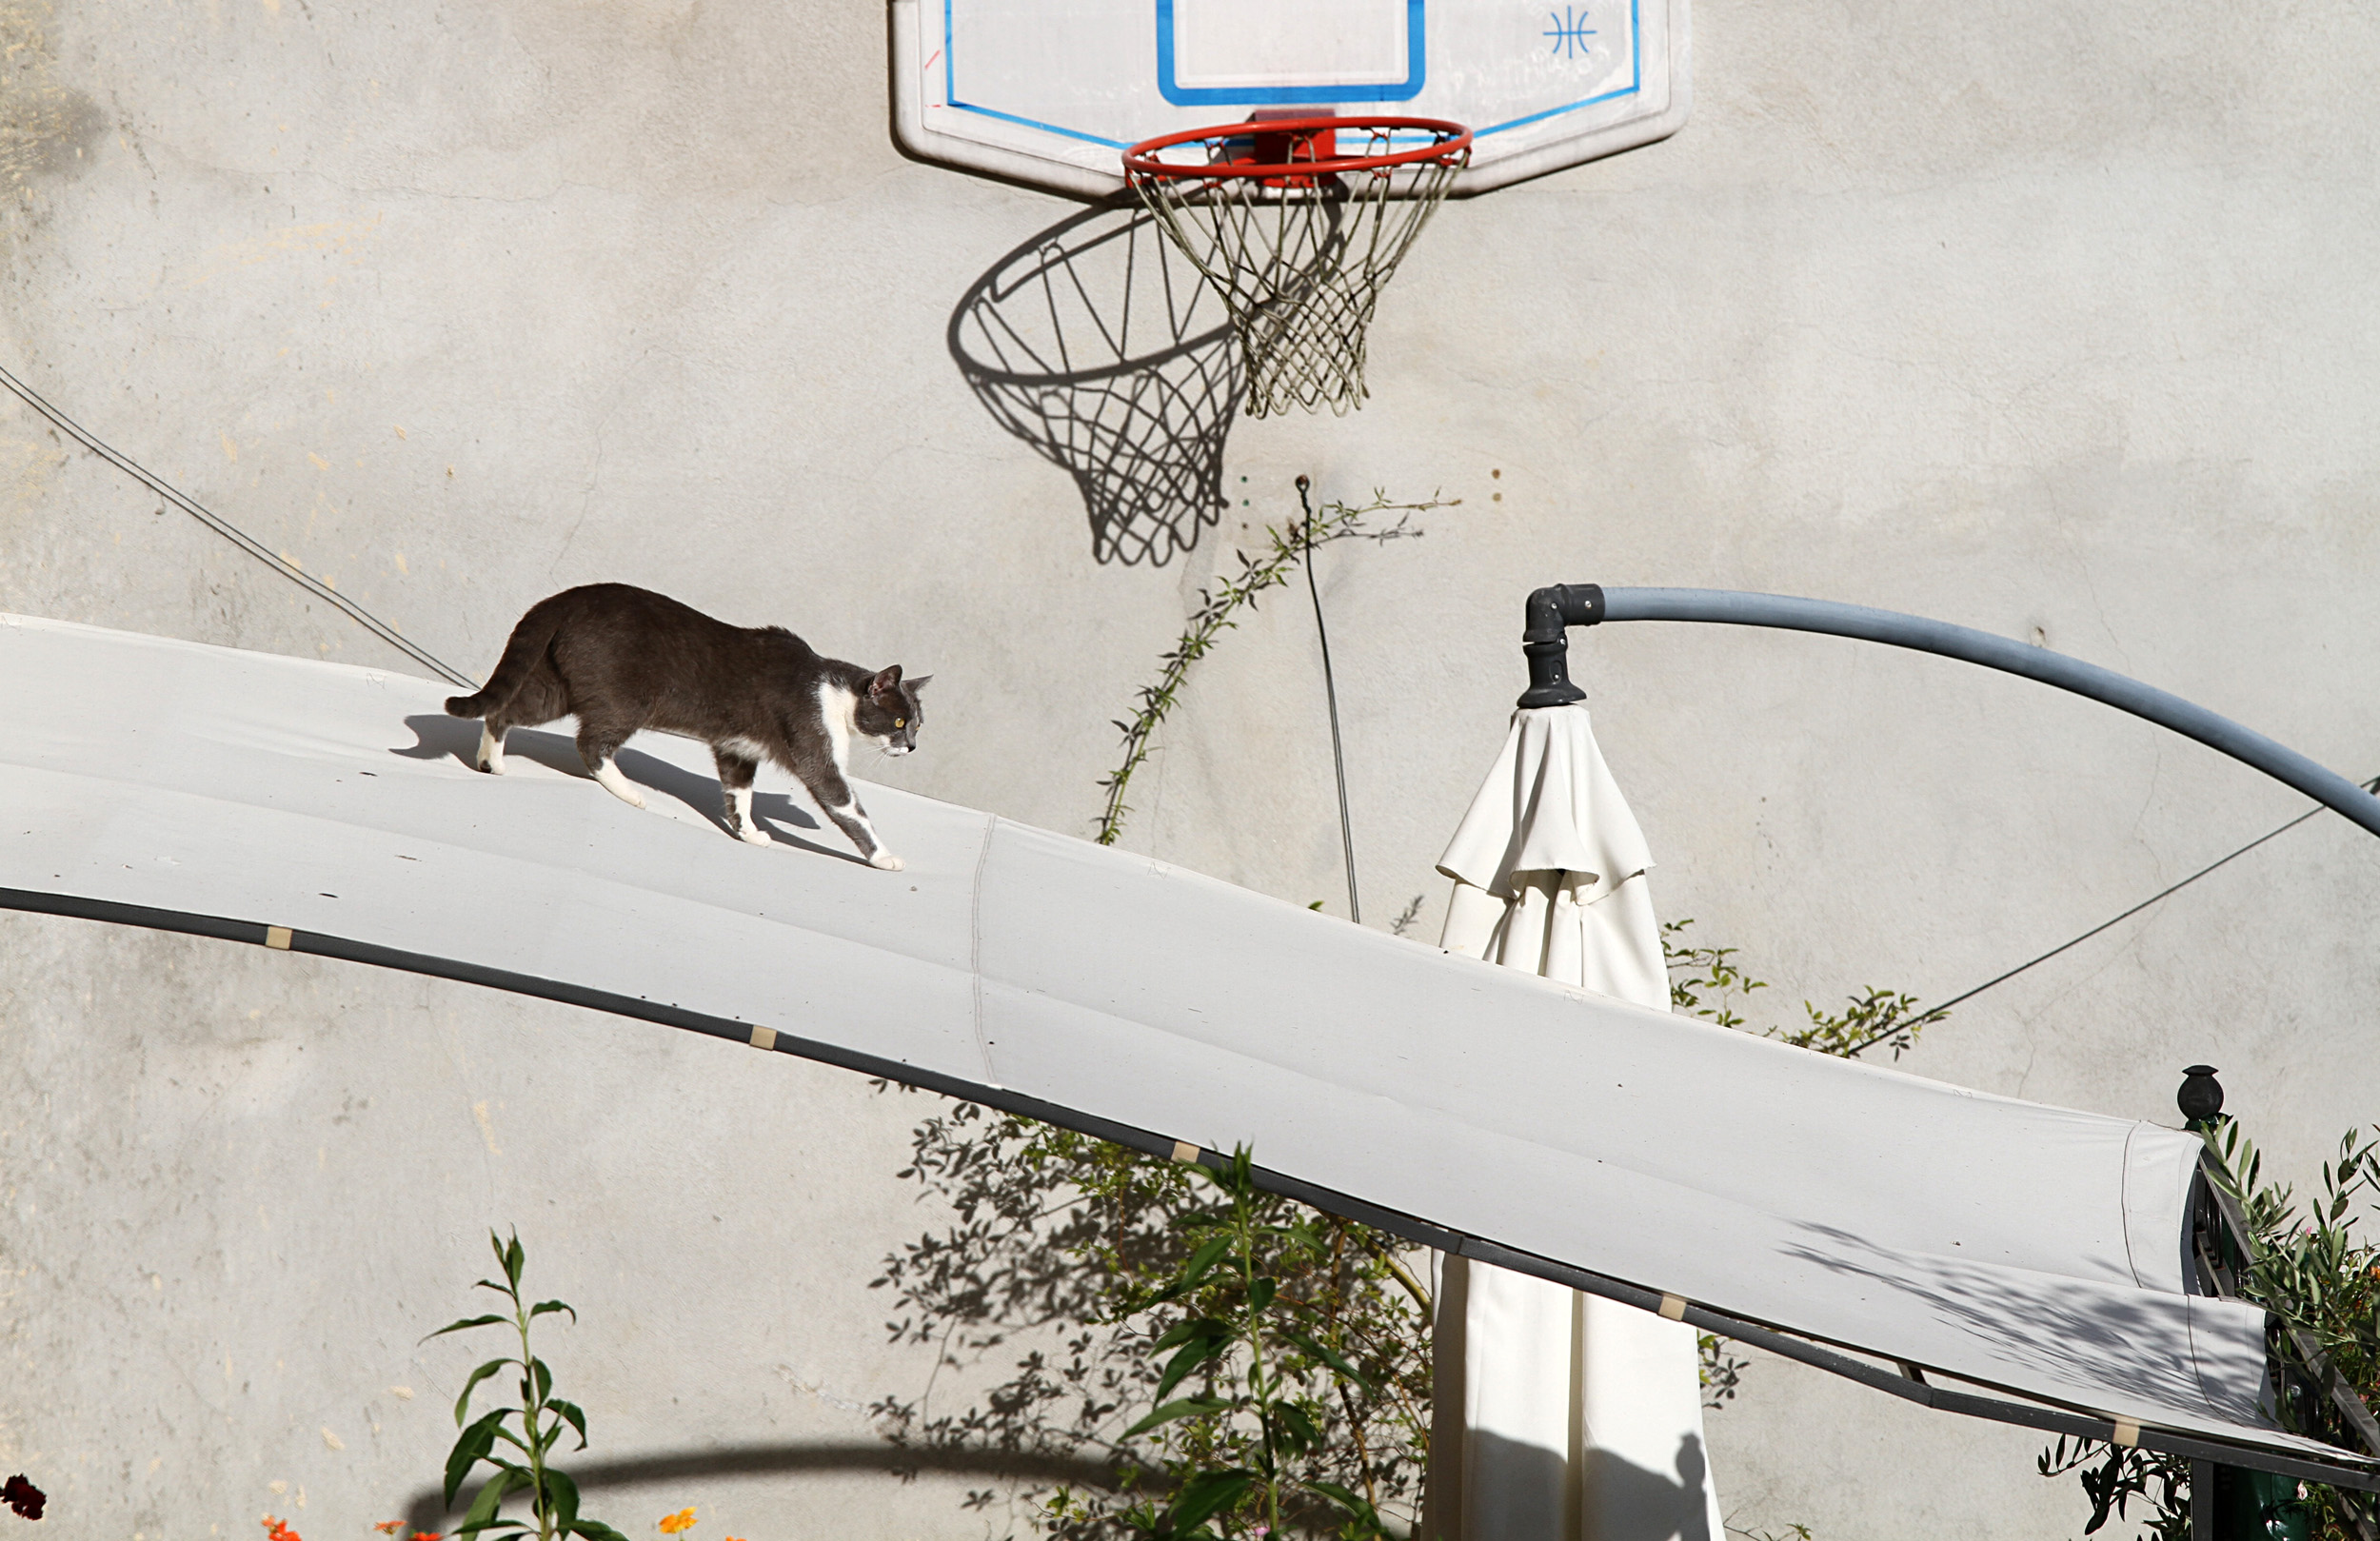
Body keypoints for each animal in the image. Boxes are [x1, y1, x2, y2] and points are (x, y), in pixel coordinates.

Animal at [443, 584, 923, 865]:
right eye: (899, 720)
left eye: (918, 725)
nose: (912, 747)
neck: (835, 693)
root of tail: (565, 598)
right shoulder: (813, 745)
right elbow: (848, 805)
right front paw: (885, 858)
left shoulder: (737, 749)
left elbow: (739, 793)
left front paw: (749, 833)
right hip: (626, 700)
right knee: (591, 743)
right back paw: (629, 792)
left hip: (552, 684)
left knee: (504, 710)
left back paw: (491, 763)